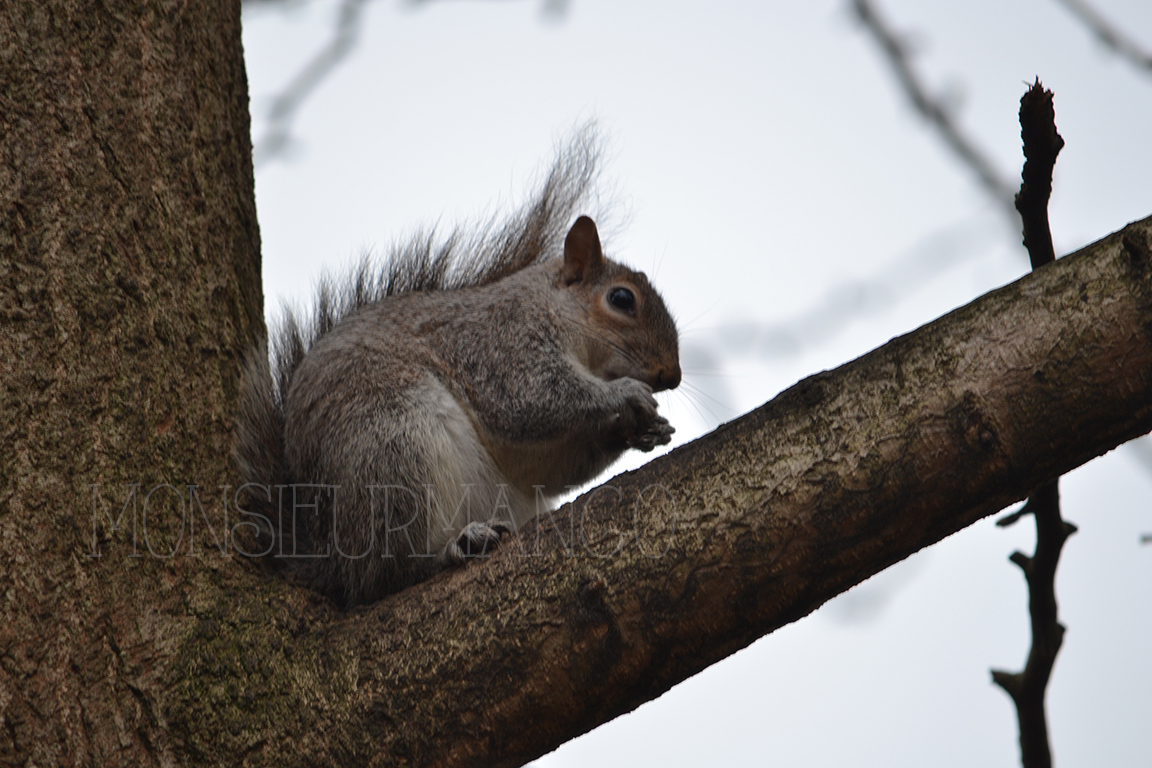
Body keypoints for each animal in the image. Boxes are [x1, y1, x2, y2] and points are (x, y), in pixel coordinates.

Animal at [237, 139, 677, 607]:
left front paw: (643, 430)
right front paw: (625, 394)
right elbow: (532, 399)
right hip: (392, 449)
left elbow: (548, 466)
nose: (673, 375)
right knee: (382, 577)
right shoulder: (499, 344)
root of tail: (327, 557)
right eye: (621, 299)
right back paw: (452, 549)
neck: (554, 310)